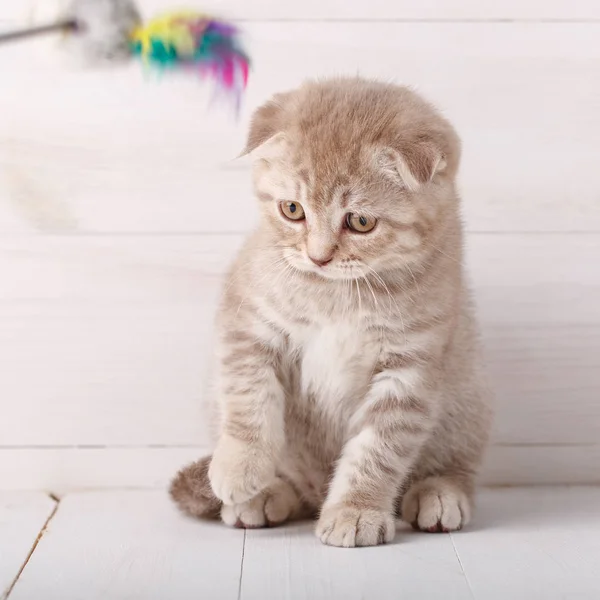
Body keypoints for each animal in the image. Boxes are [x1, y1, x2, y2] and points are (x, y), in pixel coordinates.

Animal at [169, 77, 492, 548]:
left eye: (360, 221)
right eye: (292, 210)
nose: (318, 257)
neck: (338, 294)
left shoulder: (411, 365)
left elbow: (377, 449)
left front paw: (356, 511)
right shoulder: (247, 321)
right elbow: (248, 397)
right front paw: (239, 466)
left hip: (468, 396)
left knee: (455, 464)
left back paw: (440, 493)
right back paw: (266, 494)